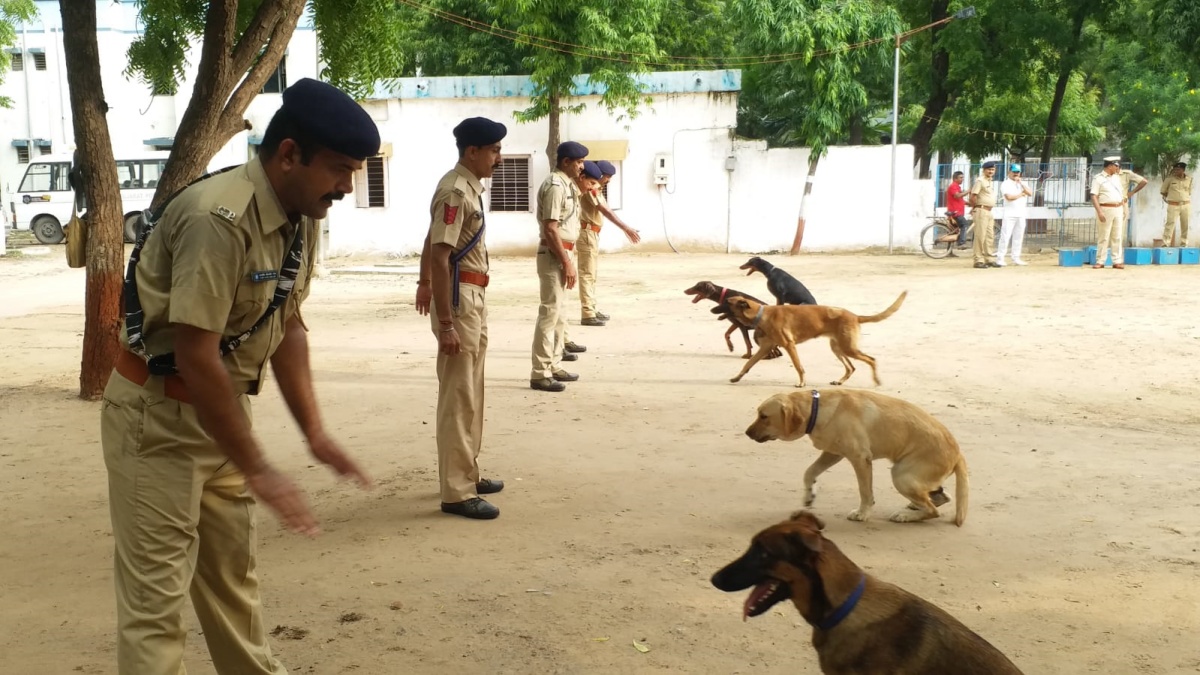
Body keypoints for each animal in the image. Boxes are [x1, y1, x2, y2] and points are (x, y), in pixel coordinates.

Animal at [720, 289, 902, 384]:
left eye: (727, 302)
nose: (714, 309)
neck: (762, 313)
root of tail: (856, 316)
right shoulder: (765, 348)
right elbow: (748, 364)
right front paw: (737, 377)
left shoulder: (789, 346)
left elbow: (798, 366)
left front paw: (801, 383)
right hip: (838, 348)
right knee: (851, 367)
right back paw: (840, 382)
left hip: (848, 348)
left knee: (871, 360)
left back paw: (876, 380)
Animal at [744, 386, 969, 523]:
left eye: (763, 416)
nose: (746, 433)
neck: (817, 409)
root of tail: (958, 453)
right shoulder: (832, 453)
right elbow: (809, 473)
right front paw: (809, 495)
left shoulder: (860, 458)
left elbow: (865, 491)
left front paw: (863, 513)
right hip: (909, 476)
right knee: (940, 497)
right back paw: (915, 506)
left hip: (901, 475)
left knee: (934, 510)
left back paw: (905, 516)